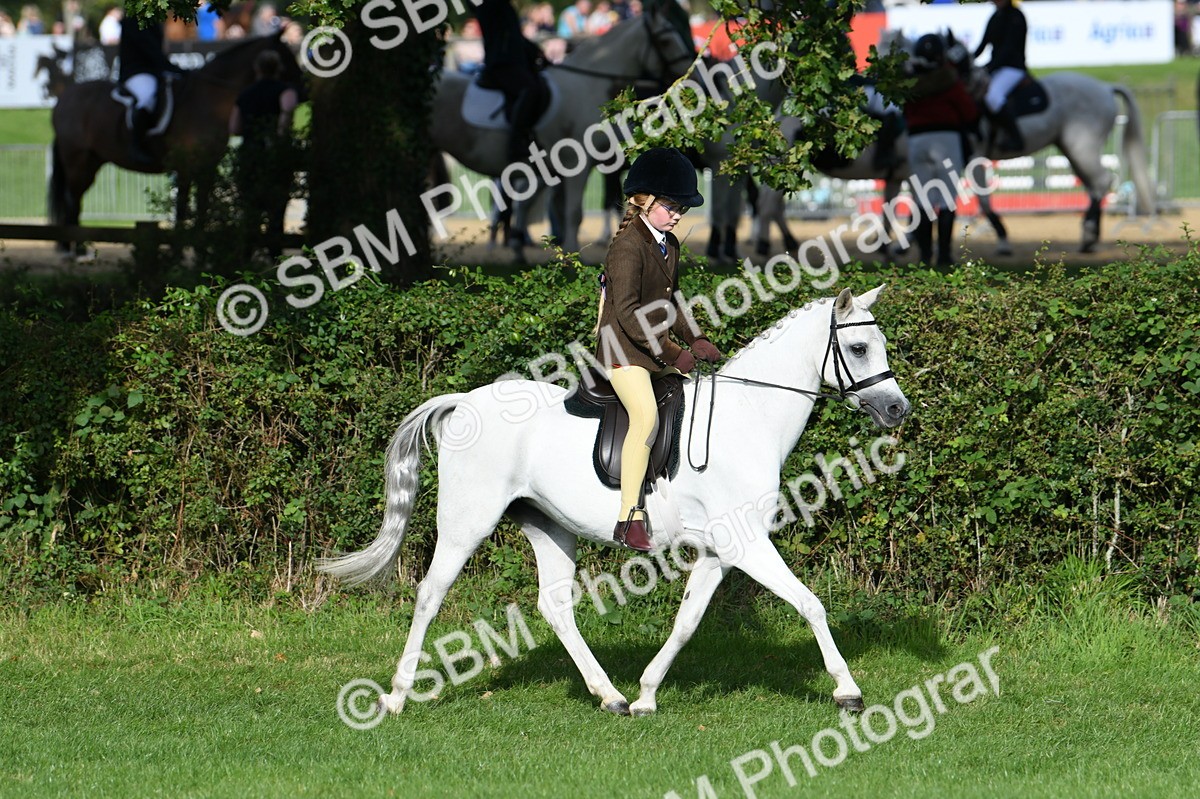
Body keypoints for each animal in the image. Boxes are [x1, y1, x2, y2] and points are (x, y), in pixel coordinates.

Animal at [48, 32, 302, 255]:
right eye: (287, 58)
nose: (303, 91)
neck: (208, 101)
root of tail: (64, 99)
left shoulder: (207, 168)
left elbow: (201, 209)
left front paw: (200, 254)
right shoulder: (186, 168)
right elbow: (182, 211)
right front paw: (178, 254)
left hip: (92, 162)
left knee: (73, 202)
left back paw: (70, 248)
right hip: (78, 162)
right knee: (73, 202)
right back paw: (75, 251)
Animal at [318, 285, 910, 716]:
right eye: (859, 348)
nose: (897, 409)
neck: (748, 418)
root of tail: (464, 401)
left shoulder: (719, 551)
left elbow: (687, 621)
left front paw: (647, 694)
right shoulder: (746, 544)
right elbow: (811, 603)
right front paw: (848, 691)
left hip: (549, 526)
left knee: (555, 607)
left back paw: (612, 696)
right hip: (469, 521)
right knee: (430, 594)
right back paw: (397, 697)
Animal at [430, 11, 696, 257]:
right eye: (665, 41)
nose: (689, 73)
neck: (587, 86)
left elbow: (562, 211)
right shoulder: (578, 164)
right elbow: (573, 213)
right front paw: (572, 257)